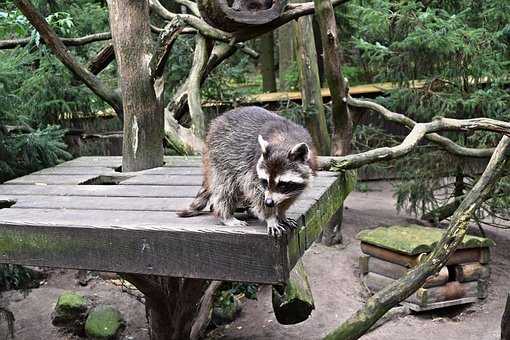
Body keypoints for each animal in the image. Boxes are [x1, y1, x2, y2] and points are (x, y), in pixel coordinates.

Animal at [177, 106, 316, 236]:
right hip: (220, 154)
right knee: (225, 187)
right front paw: (271, 217)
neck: (284, 142)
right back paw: (225, 214)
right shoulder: (253, 165)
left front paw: (281, 213)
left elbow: (291, 195)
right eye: (265, 182)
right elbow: (255, 191)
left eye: (282, 184)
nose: (269, 202)